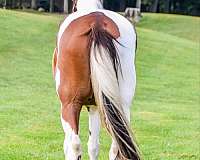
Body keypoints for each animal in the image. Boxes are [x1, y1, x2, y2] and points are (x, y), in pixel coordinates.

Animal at [52, 0, 141, 160]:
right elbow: (93, 145)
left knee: (74, 144)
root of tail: (97, 22)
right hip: (121, 106)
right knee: (116, 146)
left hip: (69, 105)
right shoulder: (95, 106)